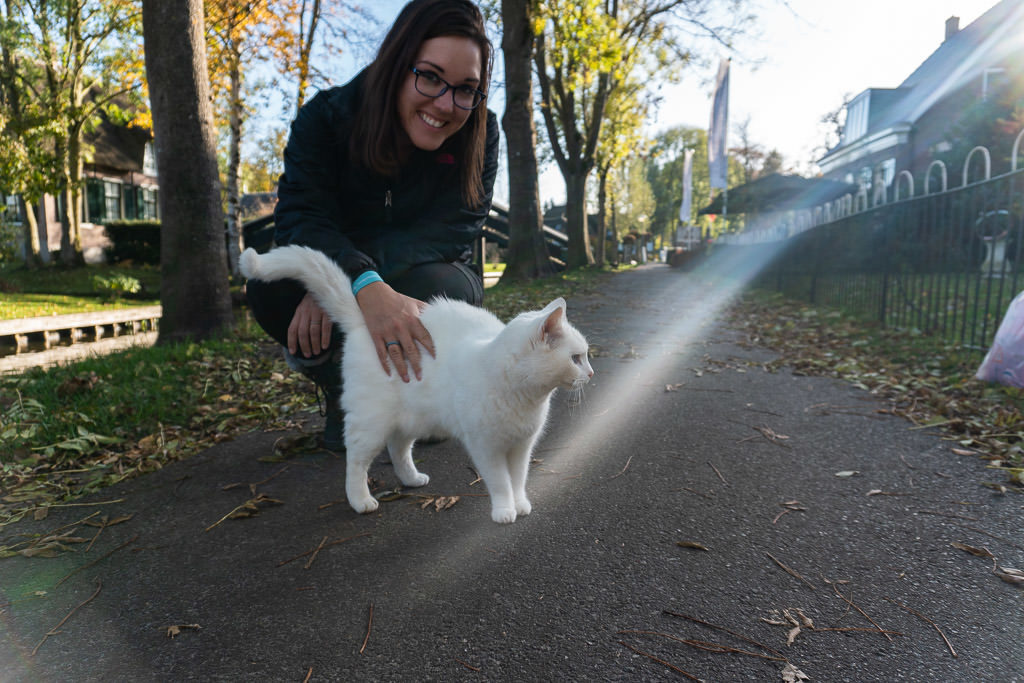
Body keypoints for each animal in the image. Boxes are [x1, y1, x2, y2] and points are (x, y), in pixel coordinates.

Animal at [239, 245, 593, 524]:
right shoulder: (486, 448)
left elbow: (518, 480)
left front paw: (521, 505)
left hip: (415, 417)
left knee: (398, 447)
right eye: (576, 358)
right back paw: (360, 500)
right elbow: (500, 482)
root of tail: (367, 322)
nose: (591, 373)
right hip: (371, 423)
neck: (521, 394)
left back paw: (411, 479)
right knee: (356, 460)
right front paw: (505, 511)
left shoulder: (522, 447)